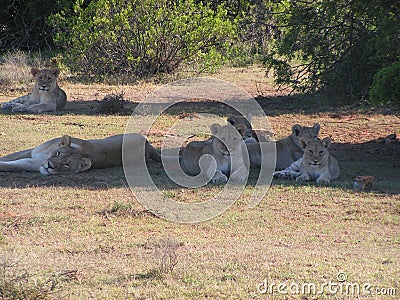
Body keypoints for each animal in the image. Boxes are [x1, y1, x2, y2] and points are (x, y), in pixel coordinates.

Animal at [0, 133, 159, 175]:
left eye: (65, 165)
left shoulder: (33, 164)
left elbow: (11, 165)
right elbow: (10, 157)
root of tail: (148, 145)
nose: (49, 166)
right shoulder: (31, 152)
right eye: (58, 153)